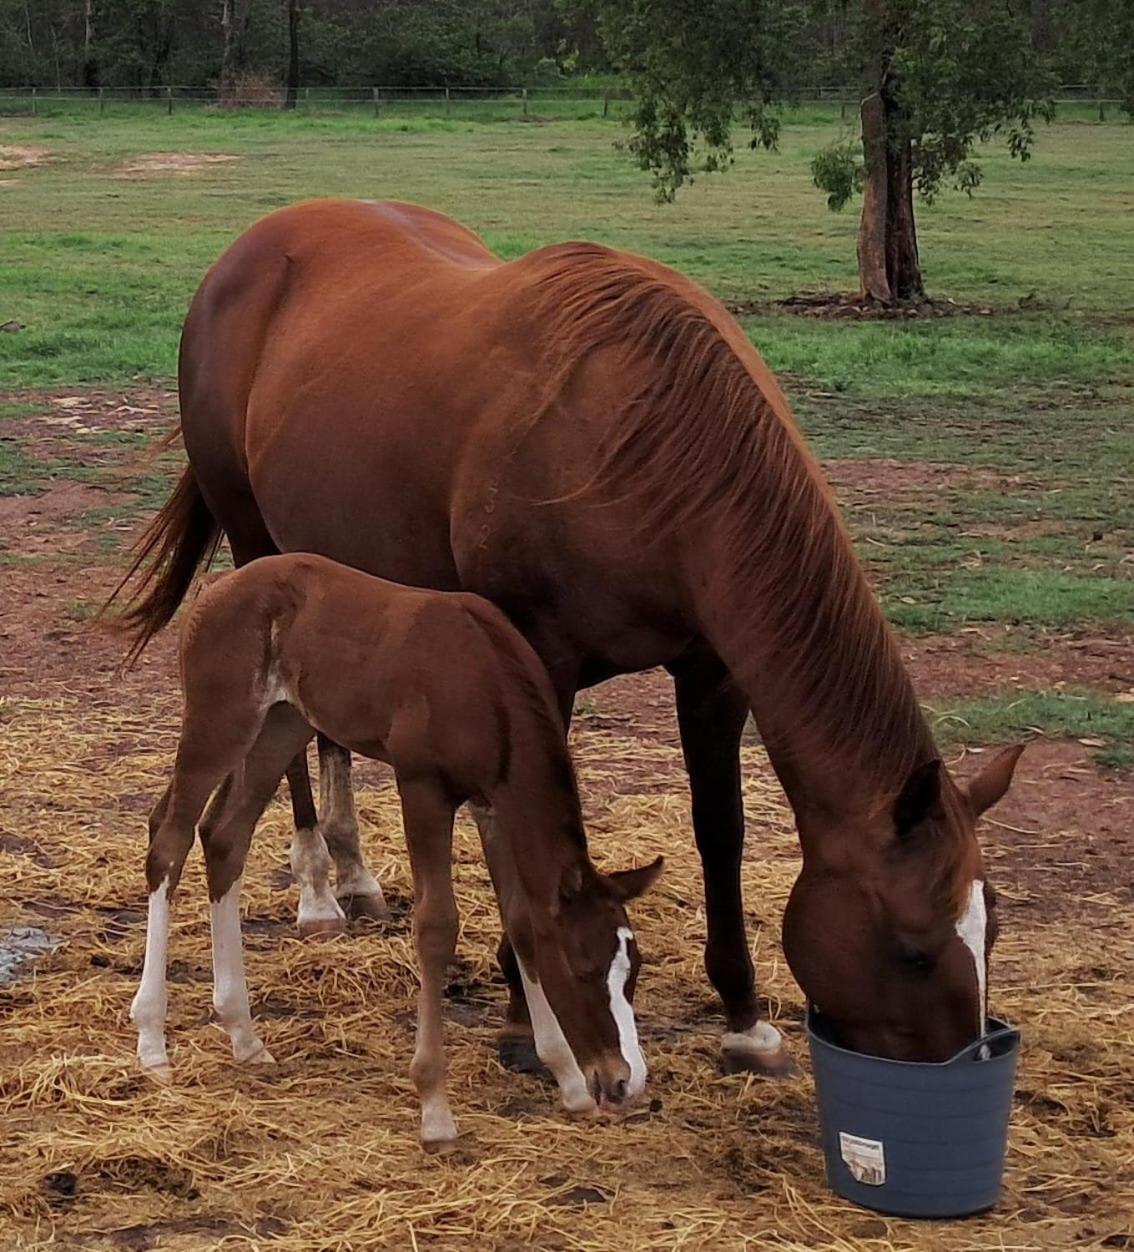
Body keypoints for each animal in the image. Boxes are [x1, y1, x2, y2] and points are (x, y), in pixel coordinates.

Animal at [116, 198, 1023, 1069]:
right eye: (910, 950)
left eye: (992, 927)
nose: (960, 1064)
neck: (646, 443)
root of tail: (248, 253)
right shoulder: (537, 664)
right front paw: (529, 1014)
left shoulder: (712, 672)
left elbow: (719, 828)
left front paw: (742, 1019)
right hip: (255, 544)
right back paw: (313, 883)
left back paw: (354, 870)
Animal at [130, 552, 662, 1150]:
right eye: (582, 969)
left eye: (633, 970)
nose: (624, 1082)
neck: (484, 678)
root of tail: (218, 586)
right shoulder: (422, 786)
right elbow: (435, 926)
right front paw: (435, 1109)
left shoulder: (493, 802)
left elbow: (523, 920)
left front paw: (567, 1079)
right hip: (219, 721)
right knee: (169, 838)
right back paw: (152, 1042)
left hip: (281, 726)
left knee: (225, 837)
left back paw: (244, 1036)